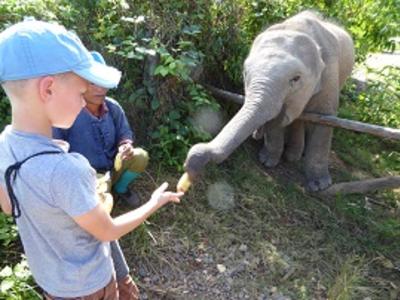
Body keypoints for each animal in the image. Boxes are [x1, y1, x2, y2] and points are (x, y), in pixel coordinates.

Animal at [183, 11, 354, 192]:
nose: (193, 159)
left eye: (296, 78)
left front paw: (319, 186)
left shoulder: (329, 79)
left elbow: (324, 122)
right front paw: (267, 161)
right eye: (245, 72)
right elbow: (276, 120)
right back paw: (292, 155)